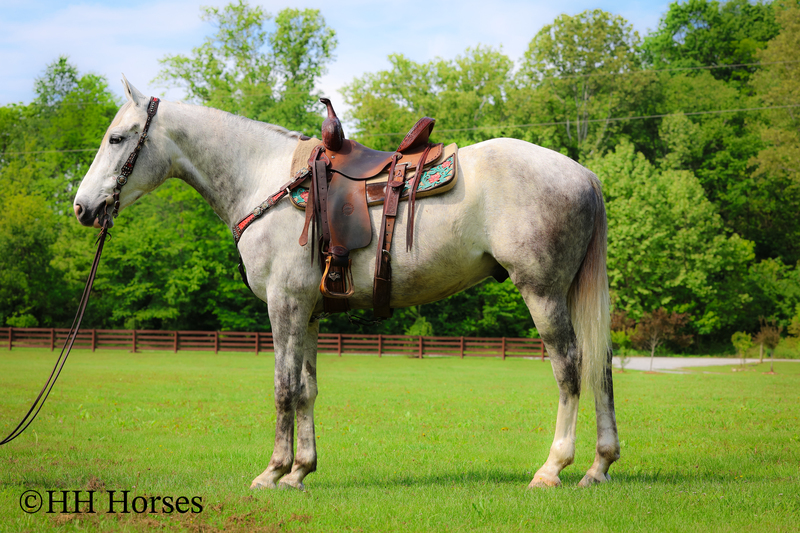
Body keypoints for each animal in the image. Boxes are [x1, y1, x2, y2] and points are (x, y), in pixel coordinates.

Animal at [73, 77, 619, 490]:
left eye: (117, 139)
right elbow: (308, 388)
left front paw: (272, 472)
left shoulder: (284, 305)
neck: (265, 179)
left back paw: (553, 468)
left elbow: (283, 387)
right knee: (601, 365)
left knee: (570, 367)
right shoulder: (309, 312)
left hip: (542, 292)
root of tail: (584, 174)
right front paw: (300, 472)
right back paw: (599, 466)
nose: (82, 207)